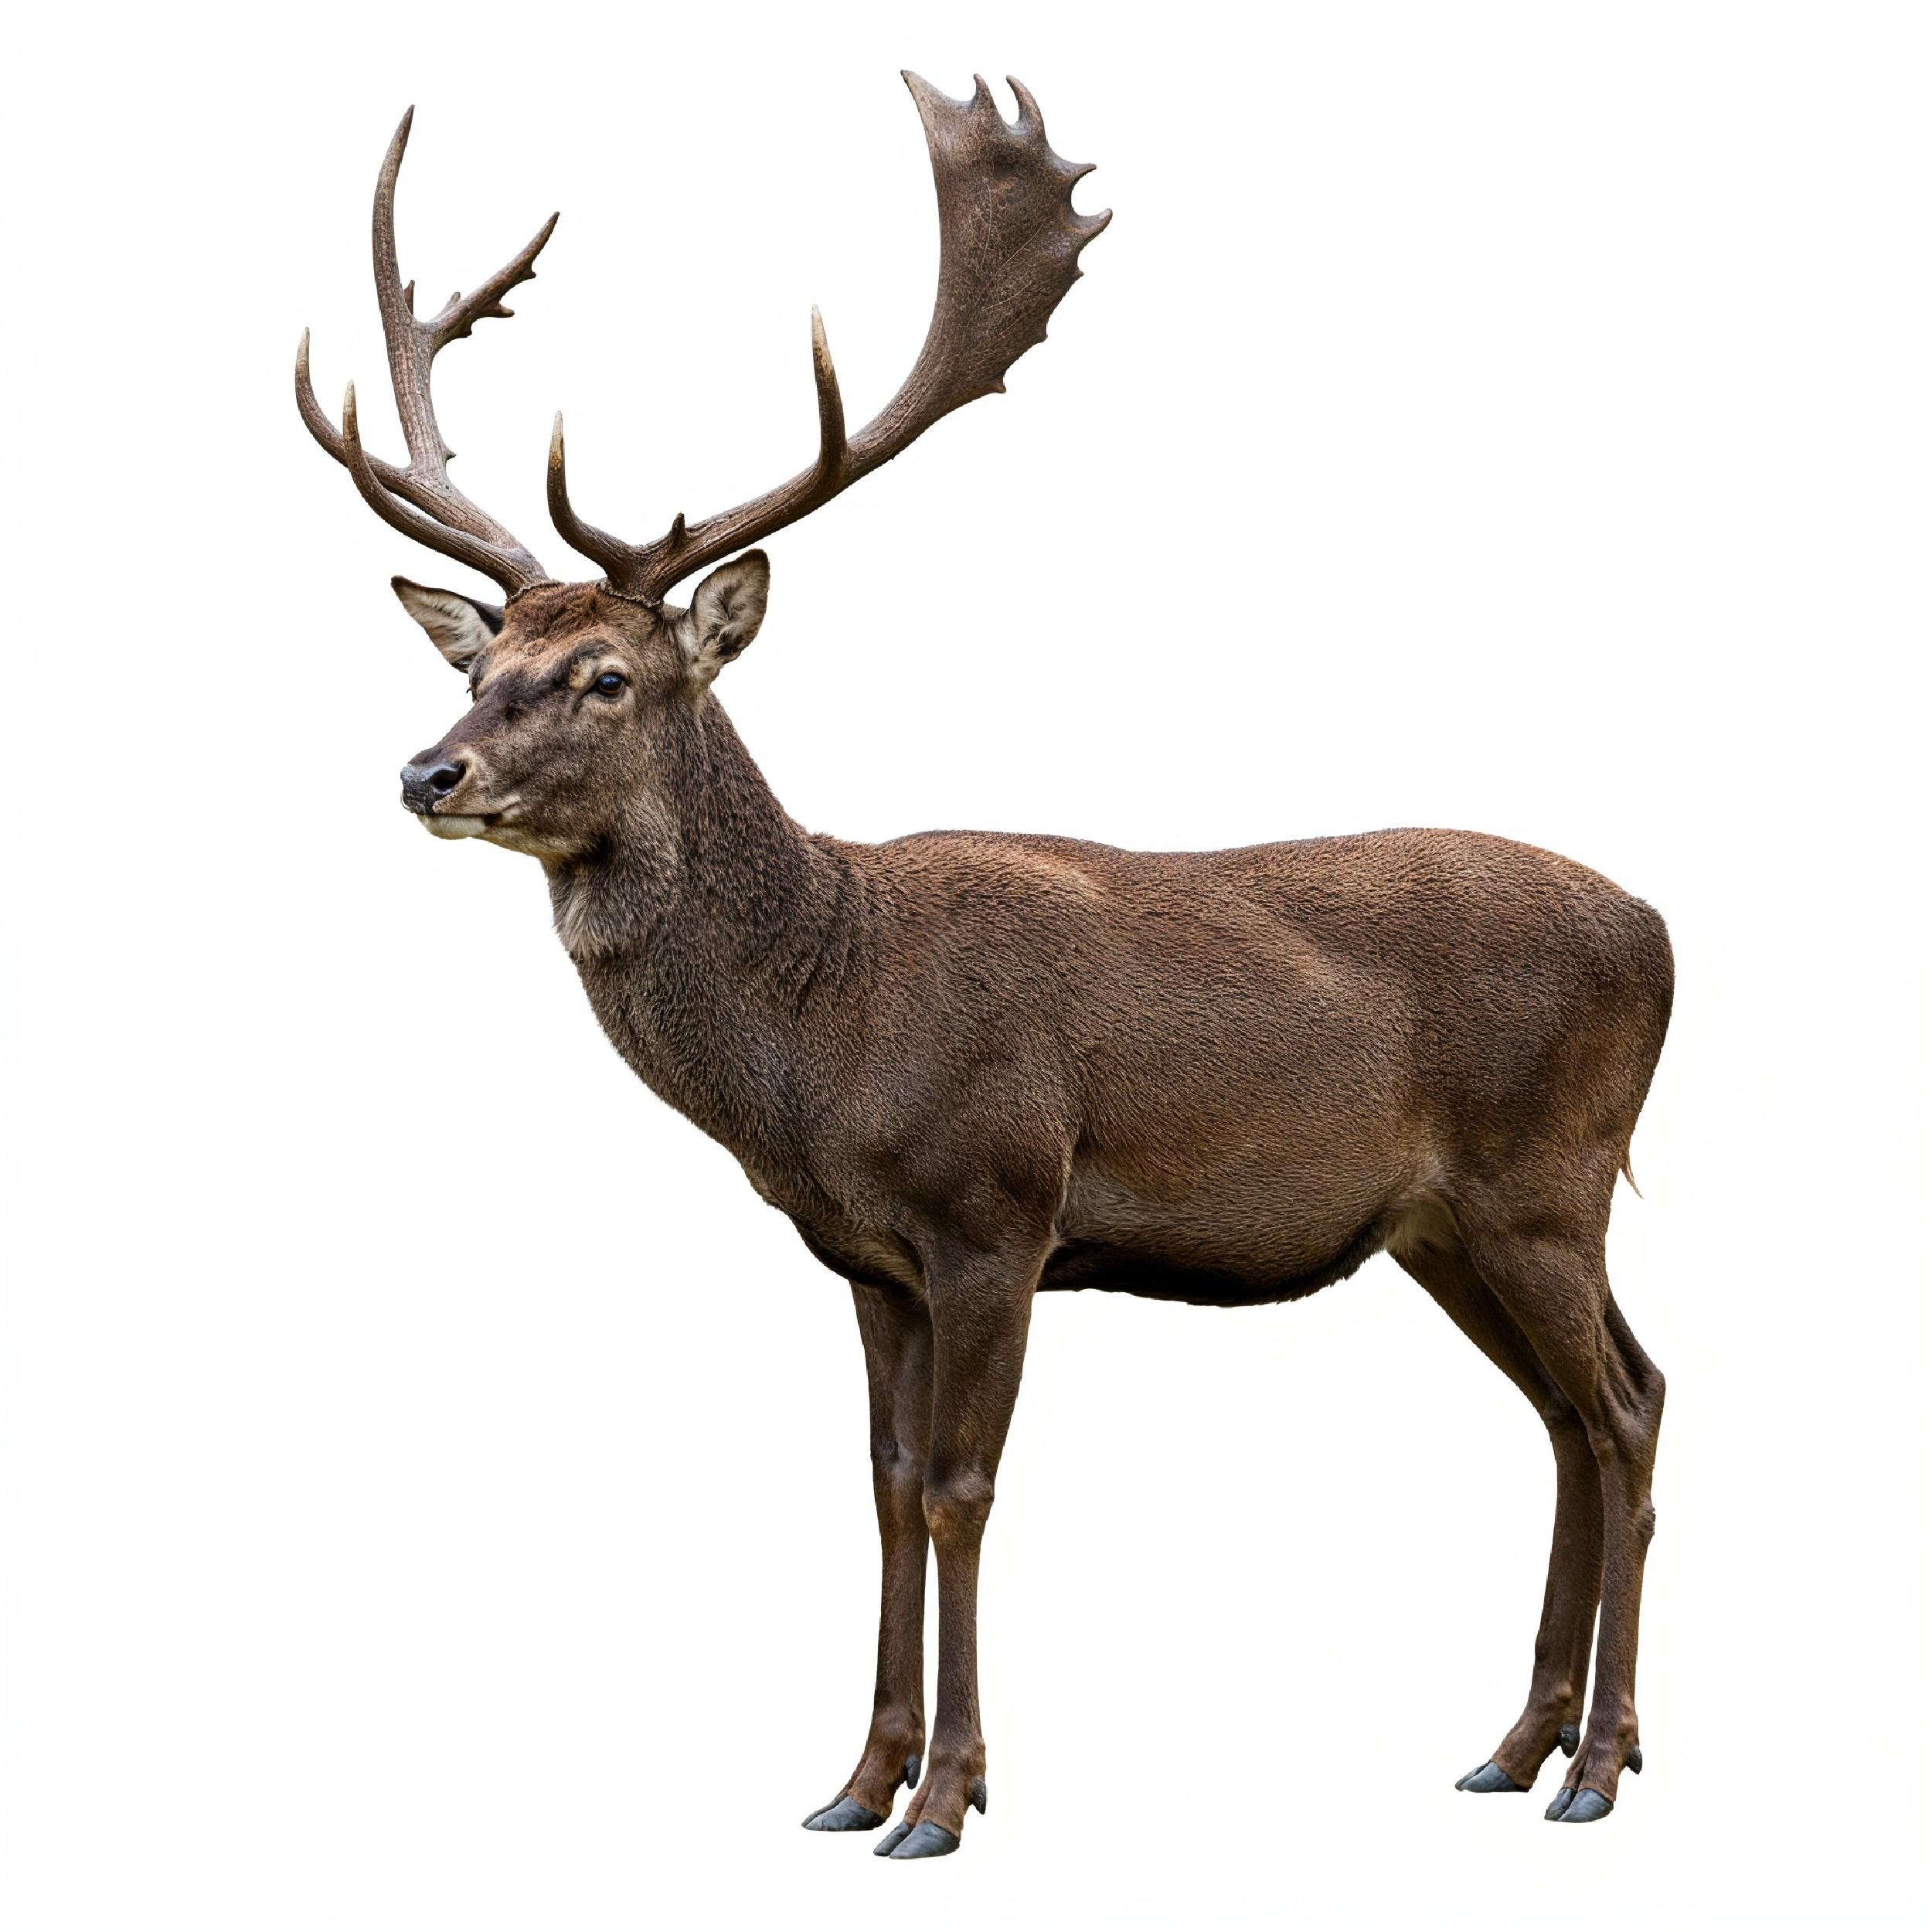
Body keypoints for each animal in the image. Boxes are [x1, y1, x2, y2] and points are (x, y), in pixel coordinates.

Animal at [295, 74, 1672, 1859]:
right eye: (485, 664)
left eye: (604, 675)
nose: (427, 772)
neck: (822, 1032)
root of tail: (1663, 931)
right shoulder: (863, 1255)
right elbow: (884, 1488)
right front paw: (852, 1778)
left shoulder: (994, 1209)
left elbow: (959, 1491)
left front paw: (947, 1799)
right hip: (1447, 1225)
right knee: (1579, 1412)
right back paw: (1515, 1742)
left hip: (1542, 1173)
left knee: (1625, 1409)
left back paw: (1596, 1763)